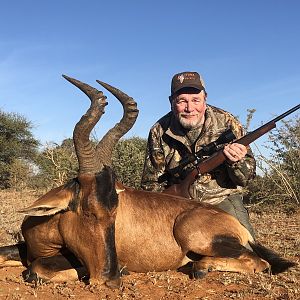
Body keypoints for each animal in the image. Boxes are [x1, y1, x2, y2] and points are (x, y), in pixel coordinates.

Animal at [0, 77, 296, 286]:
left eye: (115, 212)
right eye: (89, 211)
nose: (111, 279)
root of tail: (237, 225)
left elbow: (36, 269)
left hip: (199, 238)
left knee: (260, 263)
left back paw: (201, 268)